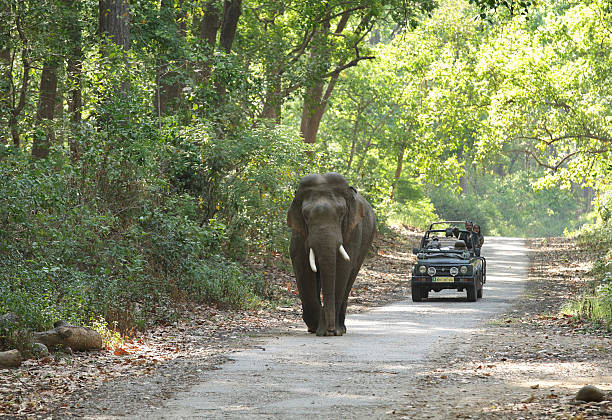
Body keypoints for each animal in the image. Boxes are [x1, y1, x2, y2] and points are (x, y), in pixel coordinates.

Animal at [286, 172, 372, 336]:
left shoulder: (353, 232)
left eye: (342, 214)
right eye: (306, 216)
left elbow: (342, 268)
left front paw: (331, 331)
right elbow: (303, 269)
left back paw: (341, 328)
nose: (330, 330)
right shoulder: (298, 234)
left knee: (350, 278)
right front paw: (317, 328)